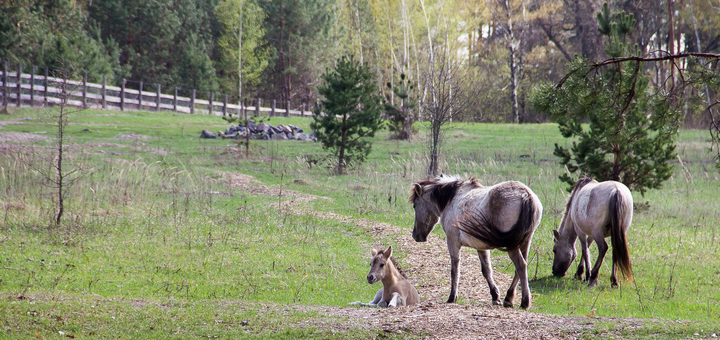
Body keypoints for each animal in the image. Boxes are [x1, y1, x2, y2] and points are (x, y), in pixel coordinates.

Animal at [408, 177, 544, 310]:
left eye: (415, 205)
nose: (415, 235)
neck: (452, 198)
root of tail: (525, 195)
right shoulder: (481, 247)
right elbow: (487, 271)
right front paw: (495, 297)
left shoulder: (452, 242)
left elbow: (454, 270)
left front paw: (452, 297)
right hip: (525, 242)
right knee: (520, 268)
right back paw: (508, 298)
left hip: (512, 246)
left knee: (521, 265)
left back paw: (524, 302)